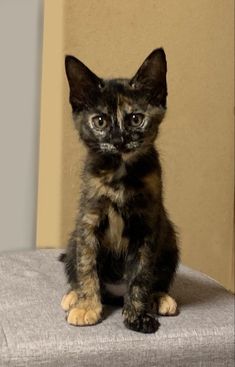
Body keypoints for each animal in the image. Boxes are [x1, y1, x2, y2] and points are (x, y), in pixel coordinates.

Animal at [59, 49, 179, 334]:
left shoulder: (147, 225)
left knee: (159, 276)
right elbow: (86, 265)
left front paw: (137, 315)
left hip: (169, 237)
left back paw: (160, 297)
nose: (118, 139)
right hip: (73, 237)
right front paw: (88, 307)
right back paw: (73, 295)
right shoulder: (88, 220)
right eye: (100, 121)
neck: (119, 174)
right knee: (76, 266)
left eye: (135, 119)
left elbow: (140, 275)